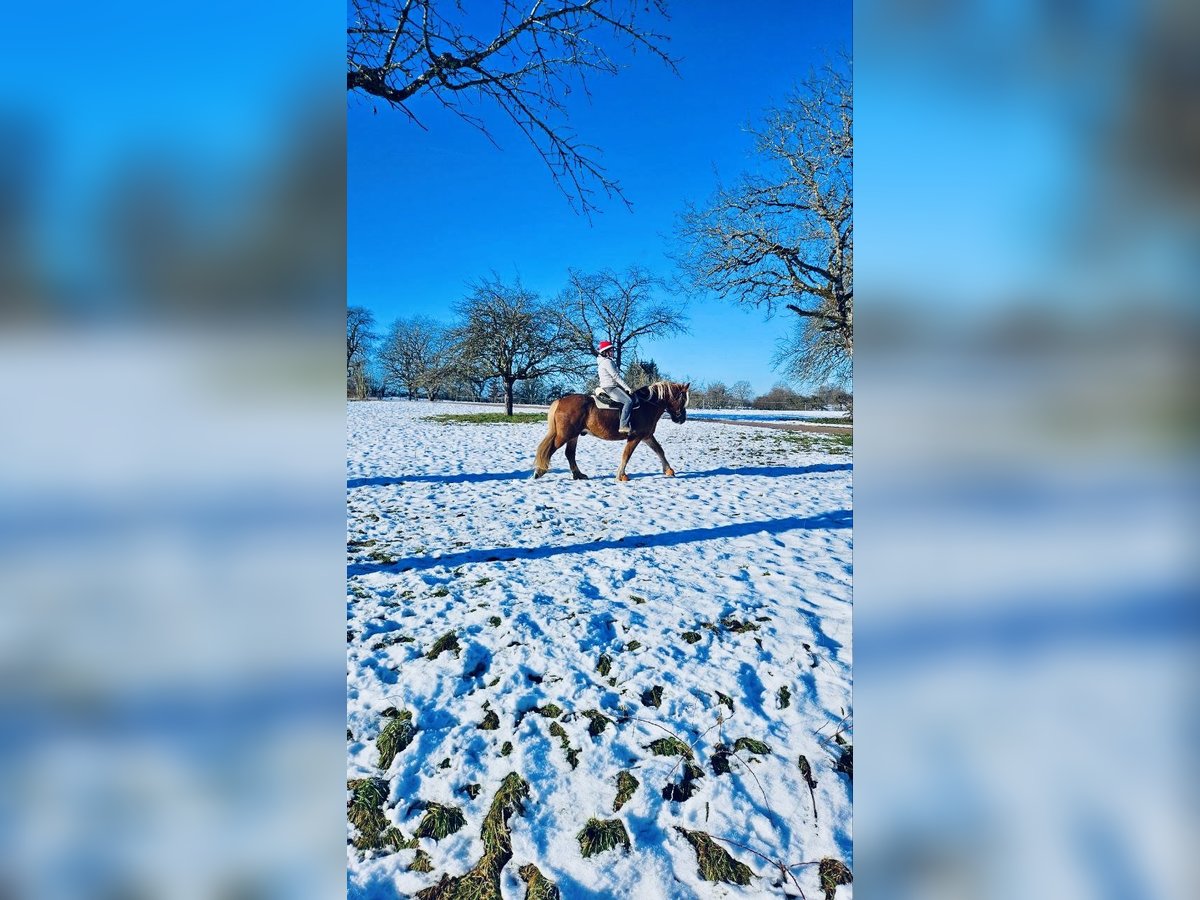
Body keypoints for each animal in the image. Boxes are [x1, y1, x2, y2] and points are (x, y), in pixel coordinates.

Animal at [537, 379, 696, 480]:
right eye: (682, 399)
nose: (682, 419)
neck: (647, 405)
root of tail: (561, 400)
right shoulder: (635, 437)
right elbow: (626, 455)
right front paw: (621, 475)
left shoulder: (647, 436)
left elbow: (659, 451)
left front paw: (668, 470)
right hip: (565, 435)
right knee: (550, 450)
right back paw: (539, 471)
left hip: (573, 436)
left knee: (569, 454)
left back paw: (578, 475)